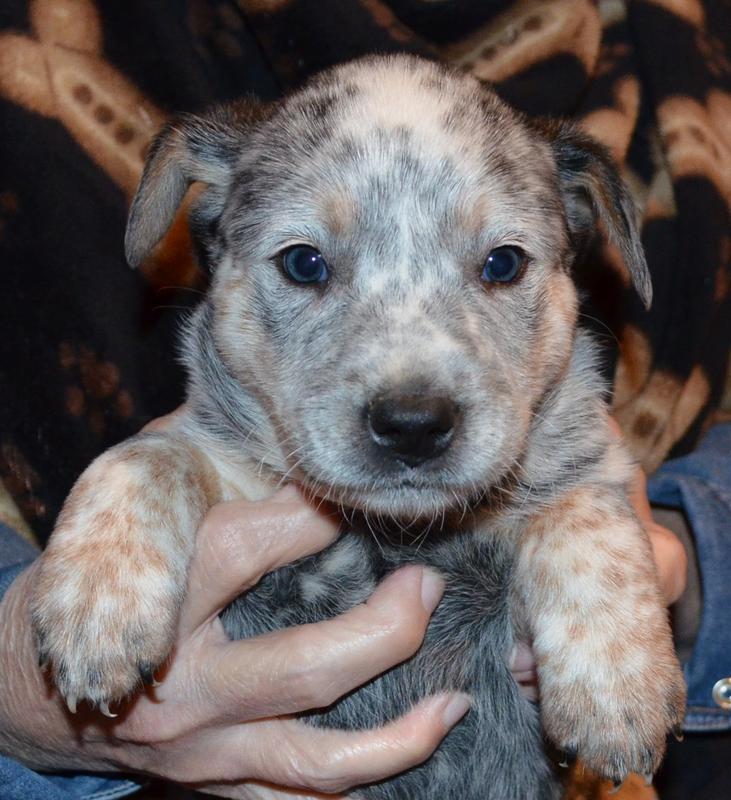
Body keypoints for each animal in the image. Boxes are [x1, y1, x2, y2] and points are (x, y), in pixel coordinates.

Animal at [31, 55, 685, 799]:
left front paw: (617, 690)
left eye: (503, 263)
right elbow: (143, 455)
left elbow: (585, 513)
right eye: (303, 262)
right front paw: (95, 606)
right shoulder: (230, 469)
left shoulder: (588, 460)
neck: (393, 537)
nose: (413, 425)